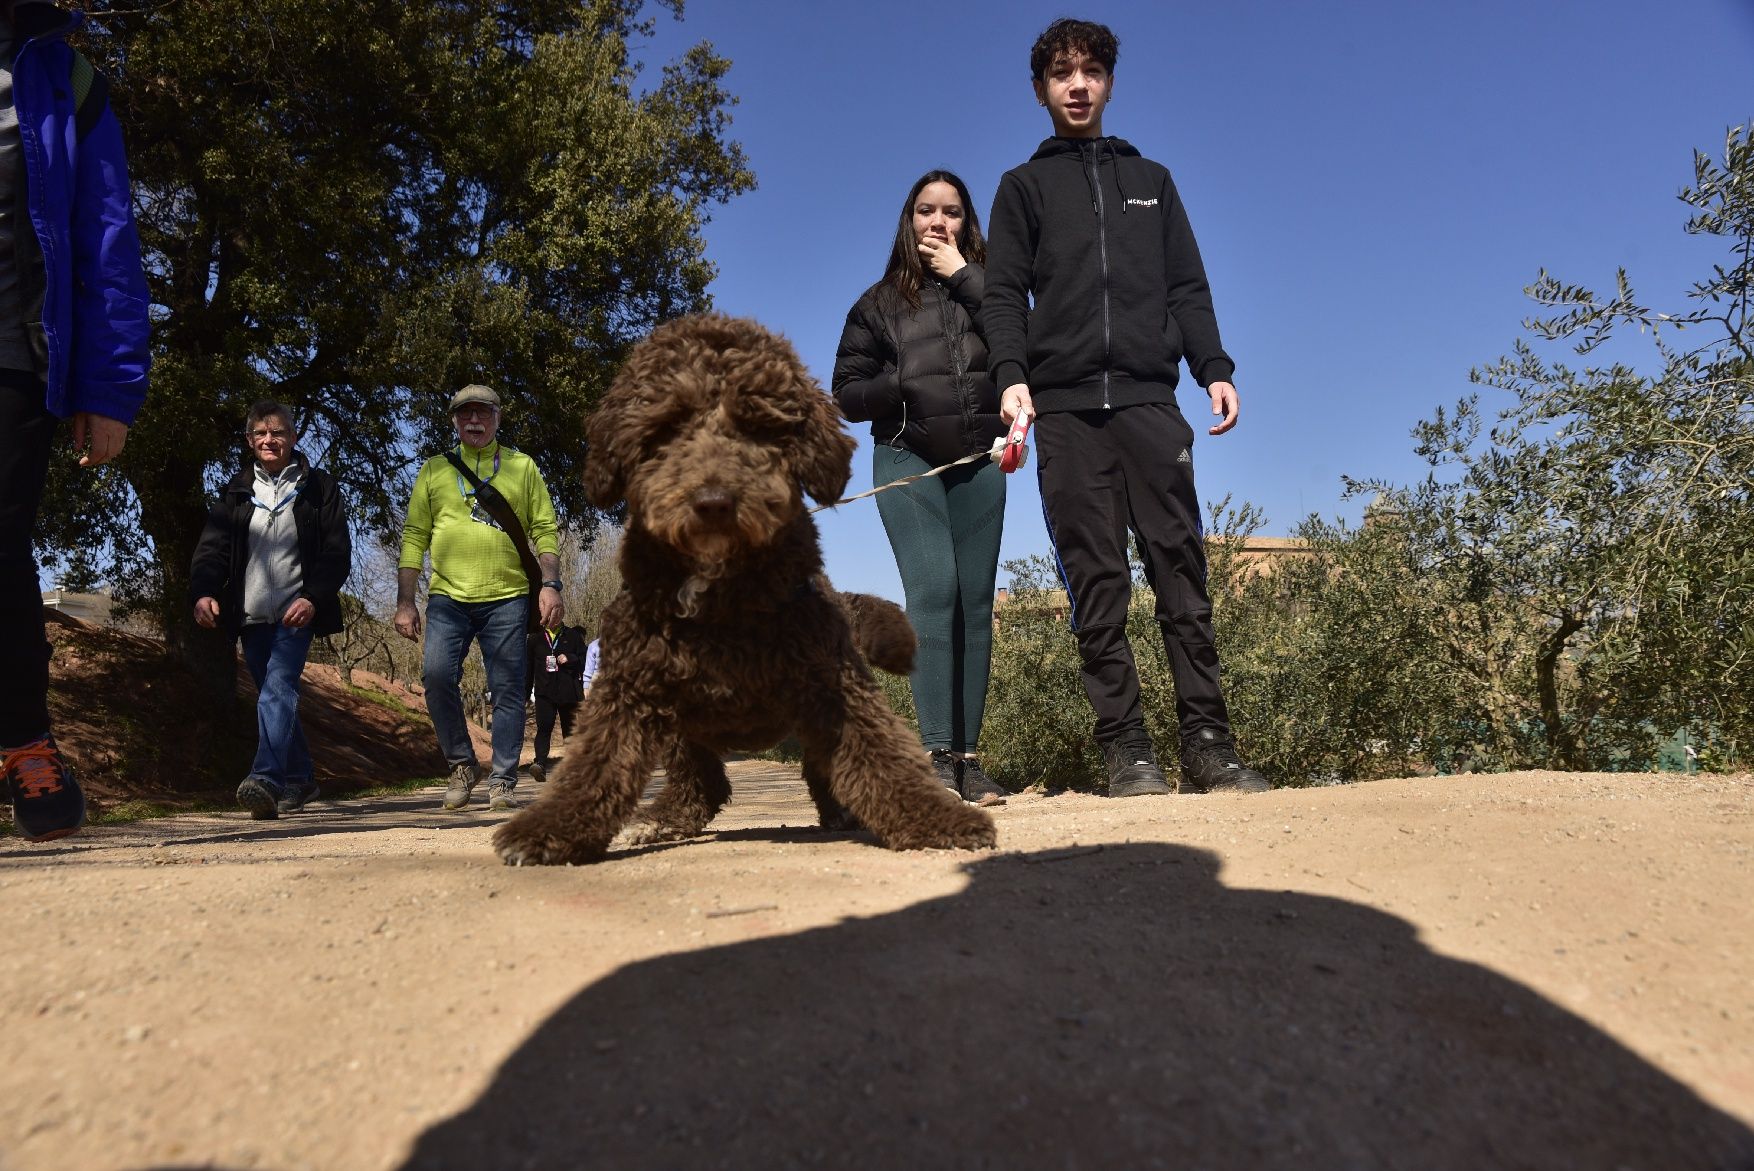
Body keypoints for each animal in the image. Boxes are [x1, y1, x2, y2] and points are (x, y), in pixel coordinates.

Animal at [494, 315, 996, 865]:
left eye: (758, 424)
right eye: (667, 426)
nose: (713, 501)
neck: (720, 598)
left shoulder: (834, 682)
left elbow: (882, 753)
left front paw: (940, 817)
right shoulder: (629, 685)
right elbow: (595, 765)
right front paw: (547, 827)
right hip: (682, 723)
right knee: (704, 784)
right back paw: (660, 820)